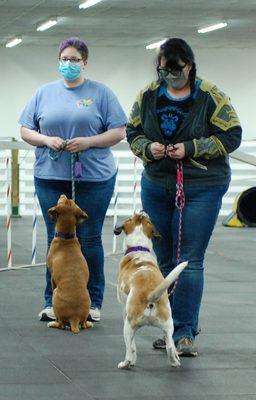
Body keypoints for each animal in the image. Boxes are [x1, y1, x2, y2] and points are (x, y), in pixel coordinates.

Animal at [46, 195, 92, 332]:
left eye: (63, 201)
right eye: (70, 201)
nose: (65, 195)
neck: (66, 238)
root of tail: (74, 318)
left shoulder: (52, 278)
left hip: (55, 294)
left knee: (61, 324)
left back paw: (53, 323)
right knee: (84, 324)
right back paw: (88, 323)